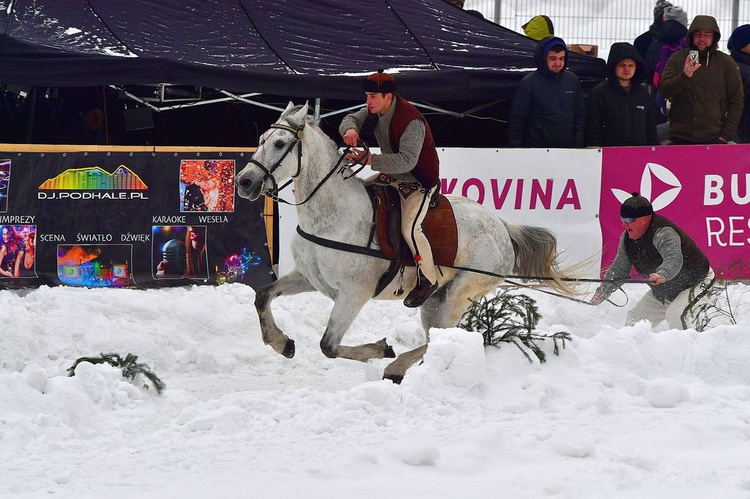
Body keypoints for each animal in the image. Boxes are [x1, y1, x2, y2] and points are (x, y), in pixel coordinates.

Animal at [238, 102, 580, 382]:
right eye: (261, 141)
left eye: (280, 143)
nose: (244, 182)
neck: (332, 215)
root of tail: (502, 227)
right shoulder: (308, 278)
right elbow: (262, 295)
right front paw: (282, 343)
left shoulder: (353, 293)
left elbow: (329, 346)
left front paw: (380, 349)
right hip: (434, 300)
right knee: (436, 338)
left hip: (460, 294)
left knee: (439, 338)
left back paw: (396, 365)